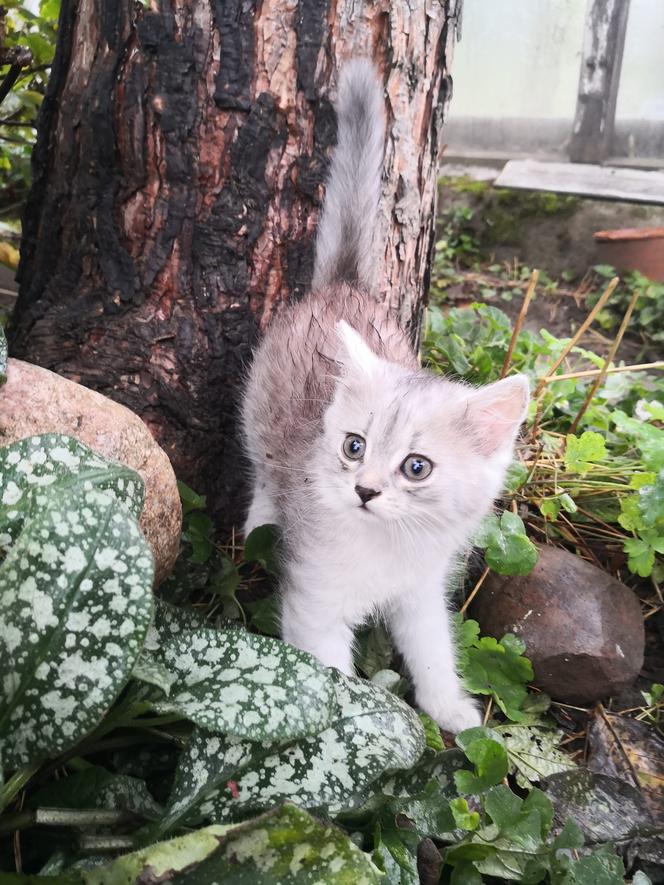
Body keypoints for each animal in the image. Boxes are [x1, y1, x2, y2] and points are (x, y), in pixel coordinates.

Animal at [240, 57, 528, 732]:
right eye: (354, 446)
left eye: (416, 467)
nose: (365, 490)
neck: (391, 546)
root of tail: (344, 284)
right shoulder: (315, 601)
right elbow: (332, 679)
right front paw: (348, 737)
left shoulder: (423, 595)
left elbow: (434, 653)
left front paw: (454, 714)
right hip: (259, 416)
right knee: (261, 469)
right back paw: (261, 517)